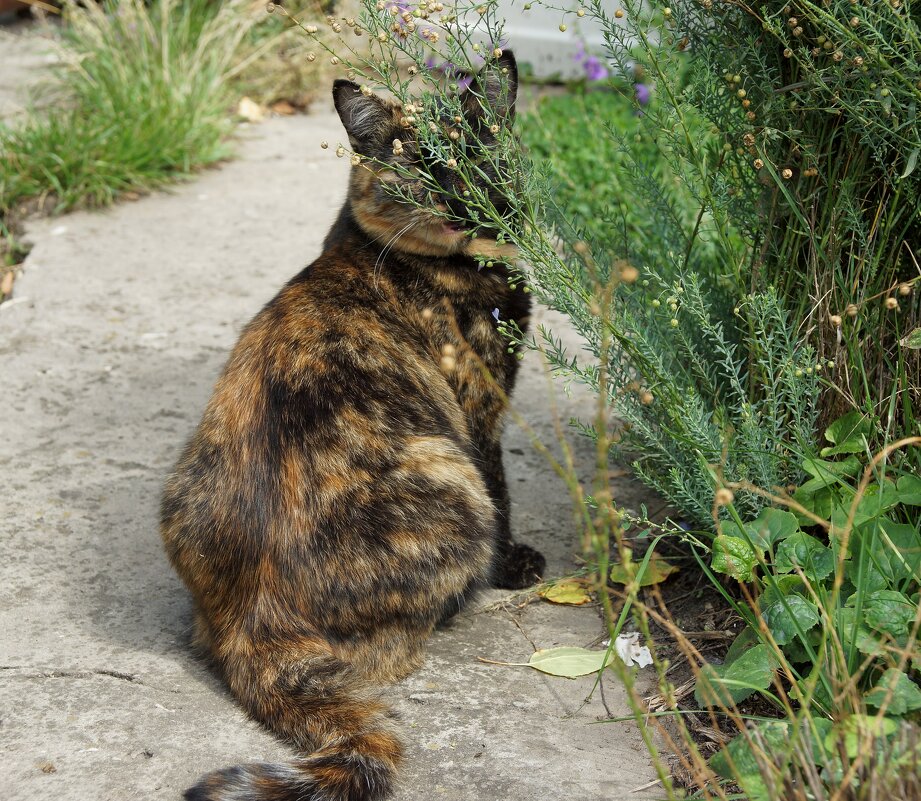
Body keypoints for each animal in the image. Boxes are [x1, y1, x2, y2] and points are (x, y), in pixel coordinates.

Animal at [162, 51, 544, 800]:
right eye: (421, 164)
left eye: (477, 151)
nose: (461, 198)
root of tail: (252, 625)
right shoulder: (478, 411)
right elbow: (504, 485)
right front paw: (513, 566)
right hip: (448, 475)